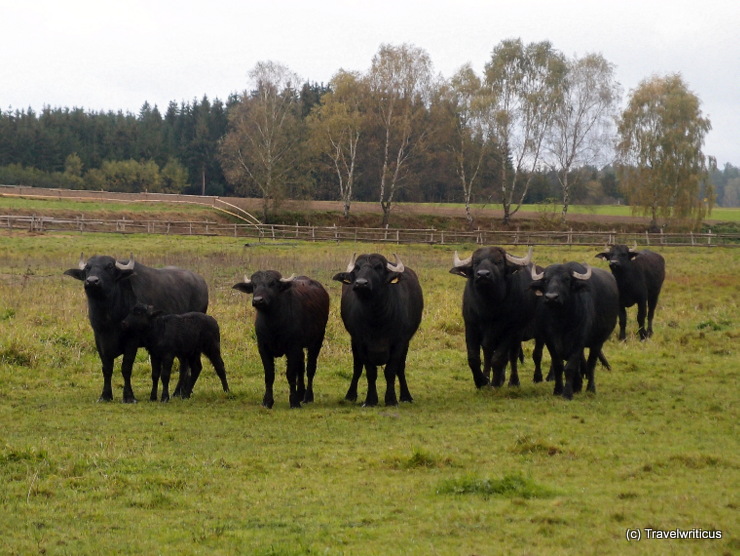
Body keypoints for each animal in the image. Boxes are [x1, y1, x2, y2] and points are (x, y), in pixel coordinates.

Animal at [63, 254, 208, 402]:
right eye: (88, 267)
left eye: (109, 267)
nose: (92, 281)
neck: (109, 315)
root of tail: (201, 282)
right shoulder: (99, 339)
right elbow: (107, 368)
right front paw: (105, 395)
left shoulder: (132, 340)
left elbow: (126, 368)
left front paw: (129, 396)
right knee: (184, 364)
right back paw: (180, 391)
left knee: (185, 366)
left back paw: (179, 392)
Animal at [234, 272, 330, 408]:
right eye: (254, 285)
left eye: (272, 284)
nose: (258, 300)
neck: (273, 325)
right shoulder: (263, 348)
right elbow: (269, 375)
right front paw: (267, 401)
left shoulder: (293, 347)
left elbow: (290, 374)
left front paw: (294, 402)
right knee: (301, 367)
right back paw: (300, 393)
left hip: (317, 340)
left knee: (310, 368)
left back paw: (307, 397)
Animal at [330, 254, 422, 406]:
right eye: (357, 268)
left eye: (378, 267)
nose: (361, 283)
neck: (376, 318)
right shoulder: (360, 342)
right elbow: (370, 371)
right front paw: (370, 400)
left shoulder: (399, 342)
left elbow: (391, 370)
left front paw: (391, 399)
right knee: (357, 367)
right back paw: (350, 395)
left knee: (401, 368)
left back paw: (406, 396)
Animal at [448, 245, 548, 388]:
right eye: (476, 262)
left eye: (498, 261)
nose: (483, 274)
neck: (489, 307)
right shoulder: (471, 326)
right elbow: (475, 358)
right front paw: (482, 381)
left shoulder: (510, 329)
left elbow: (498, 358)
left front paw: (495, 383)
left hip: (536, 333)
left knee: (532, 354)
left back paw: (528, 379)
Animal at [532, 262, 620, 400]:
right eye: (546, 280)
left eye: (566, 279)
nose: (551, 297)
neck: (562, 321)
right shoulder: (550, 341)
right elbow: (558, 366)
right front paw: (558, 390)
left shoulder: (578, 341)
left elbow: (570, 367)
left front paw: (567, 393)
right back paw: (577, 386)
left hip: (597, 342)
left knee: (591, 364)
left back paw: (590, 388)